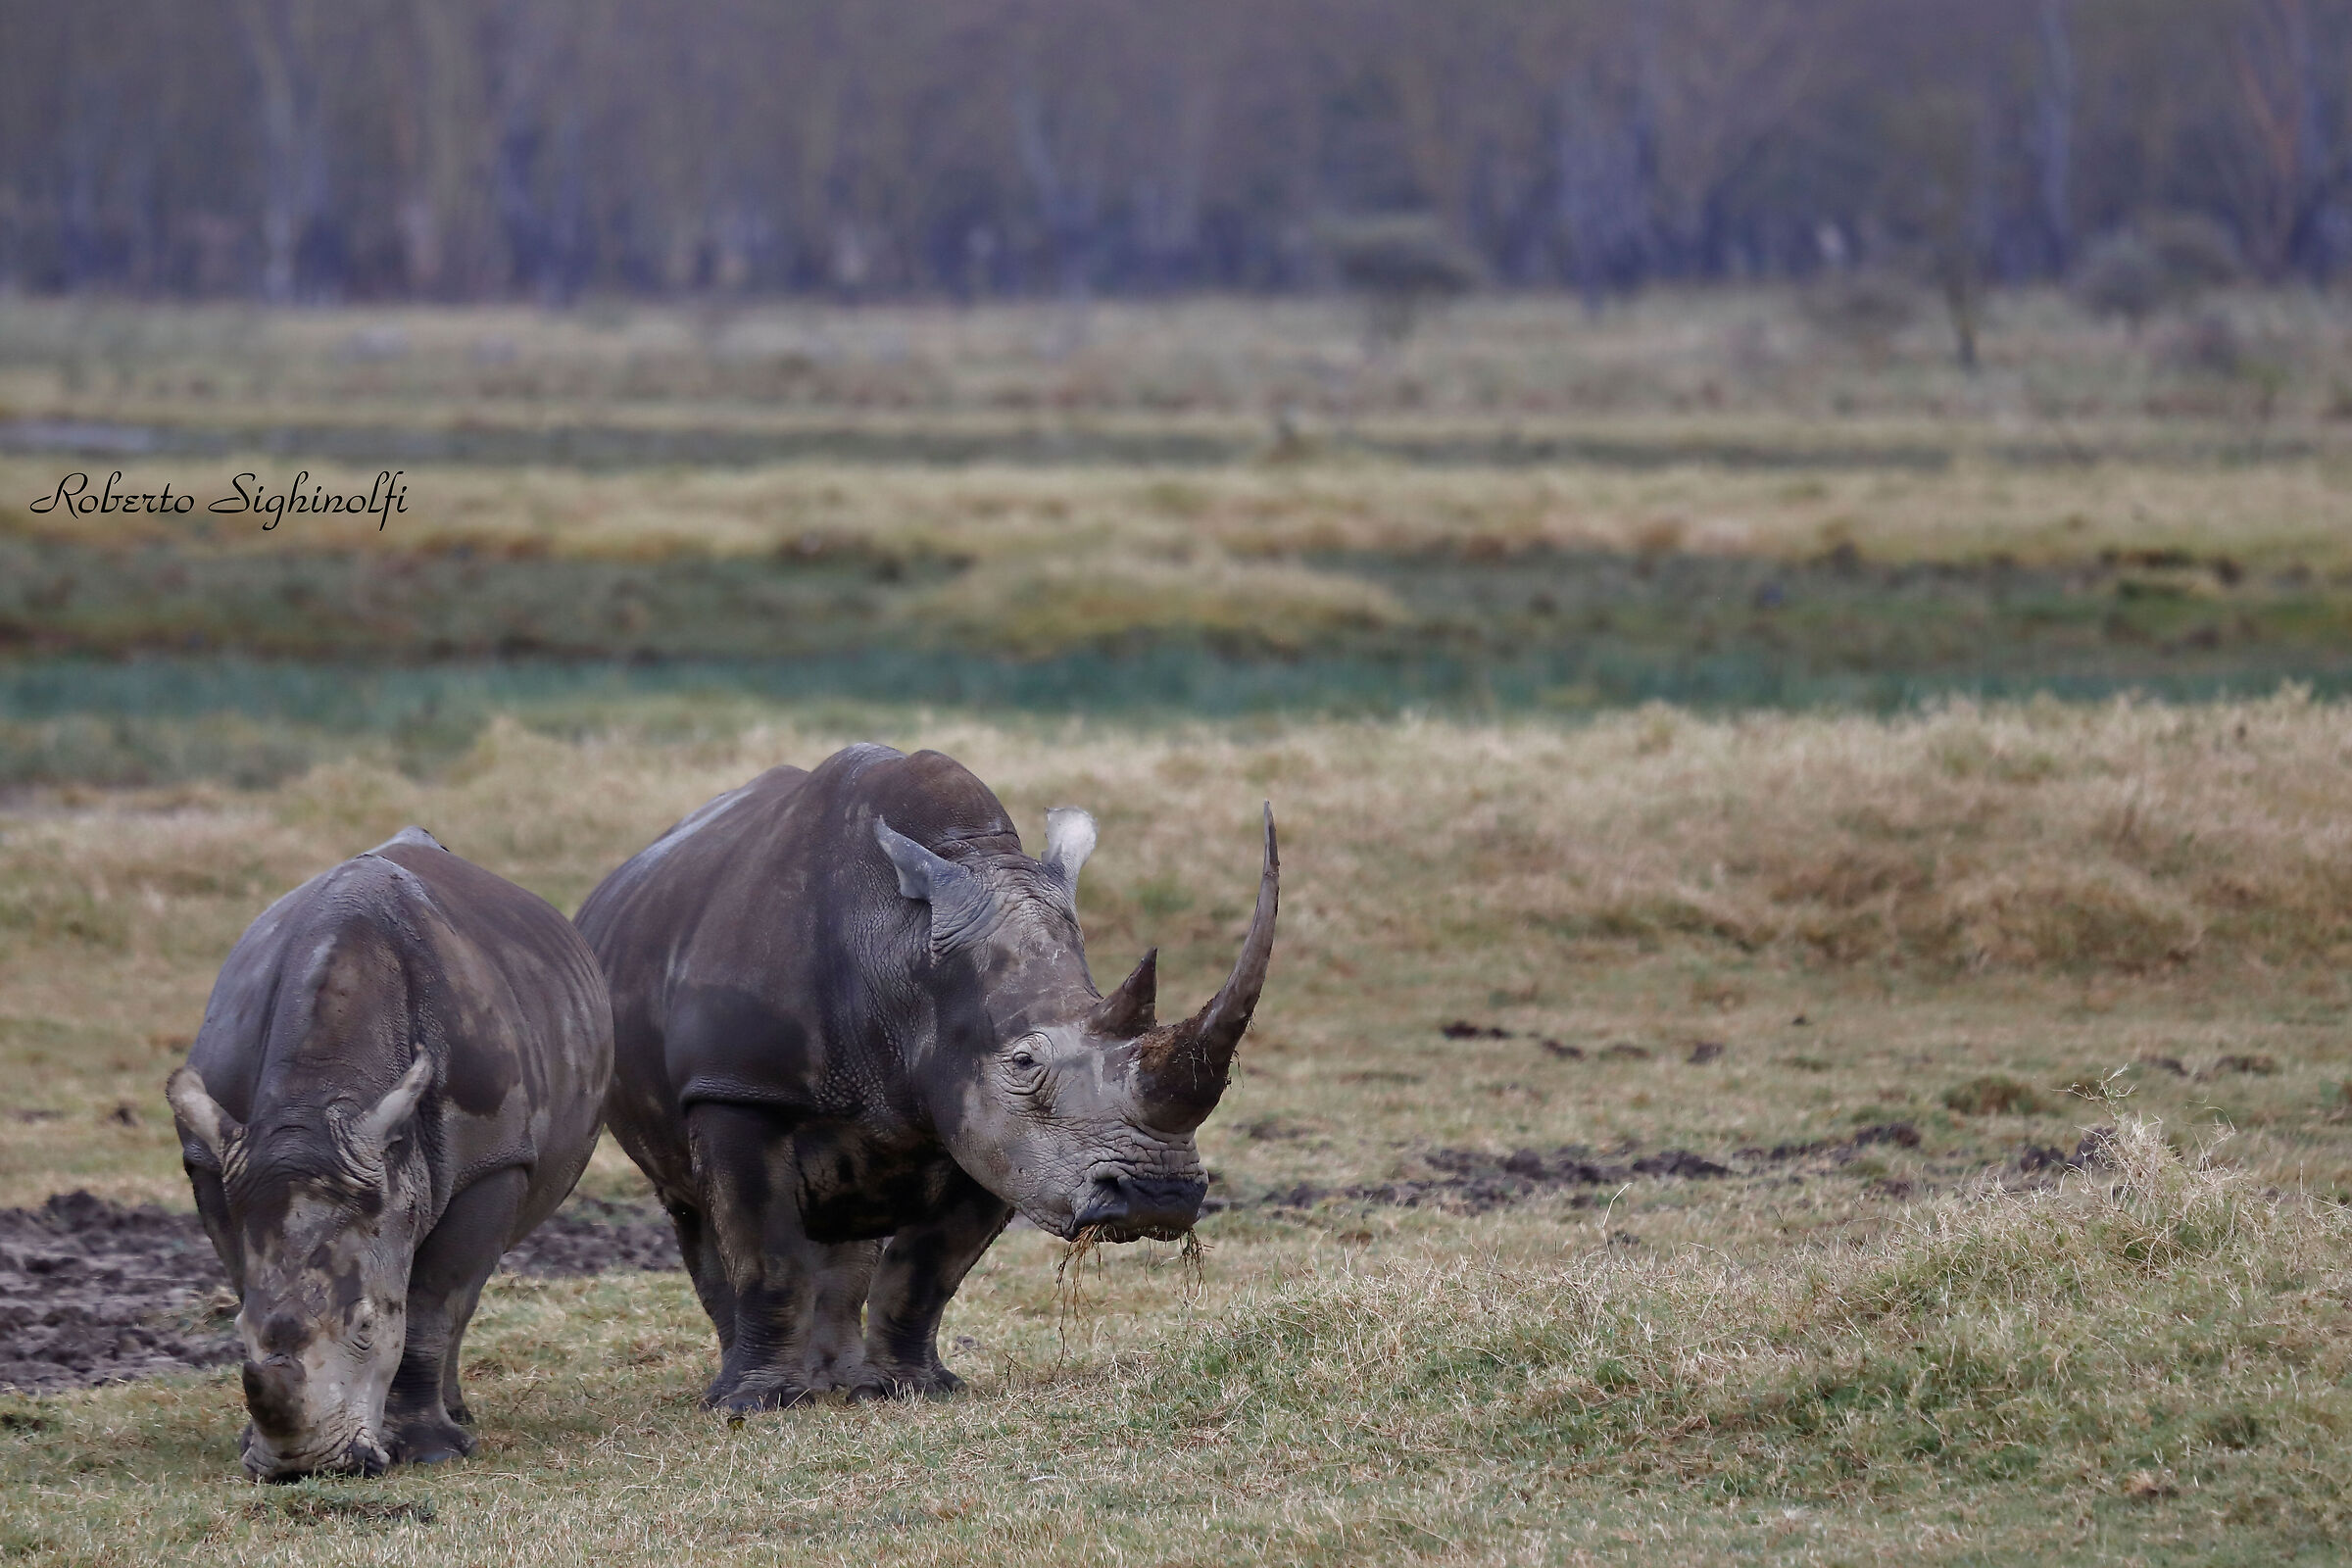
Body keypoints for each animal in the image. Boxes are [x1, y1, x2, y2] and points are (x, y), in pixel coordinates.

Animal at [164, 828, 612, 1479]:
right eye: (237, 1327)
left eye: (368, 1325)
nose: (305, 1469)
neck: (315, 1100)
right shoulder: (215, 1160)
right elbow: (249, 1276)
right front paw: (250, 1443)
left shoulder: (494, 1161)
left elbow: (430, 1306)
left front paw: (430, 1453)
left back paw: (457, 1421)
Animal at [574, 744, 1276, 1410]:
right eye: (1024, 1063)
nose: (1160, 1198)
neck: (902, 954)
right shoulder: (740, 1088)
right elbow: (764, 1257)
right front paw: (757, 1405)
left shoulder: (983, 1122)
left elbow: (925, 1271)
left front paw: (908, 1389)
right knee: (692, 1209)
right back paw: (747, 1390)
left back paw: (836, 1381)